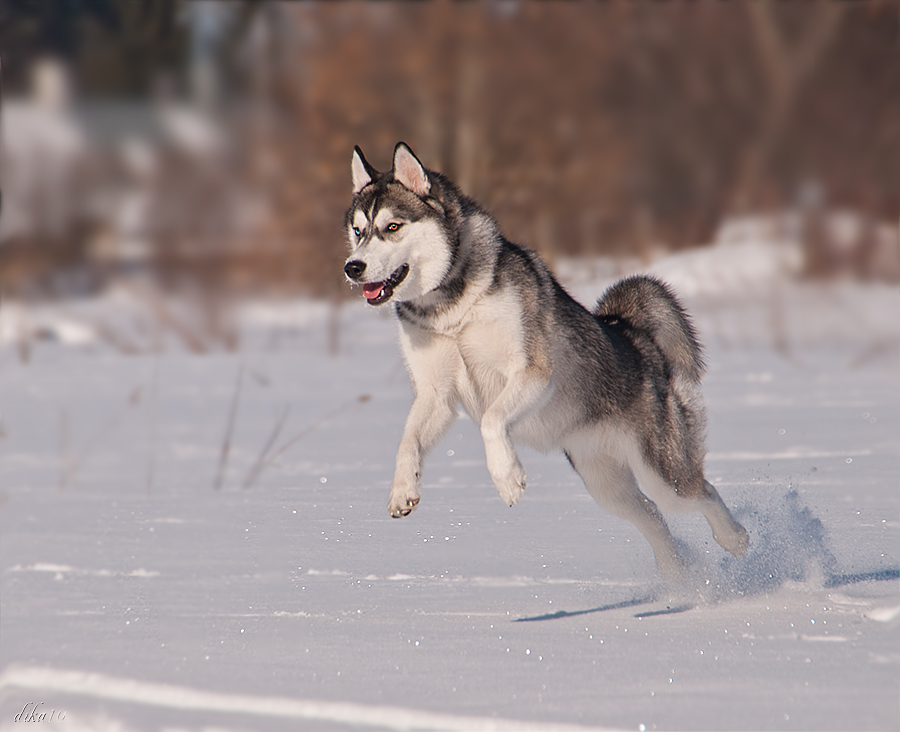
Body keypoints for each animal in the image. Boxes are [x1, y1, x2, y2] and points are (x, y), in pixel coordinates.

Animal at [342, 142, 748, 576]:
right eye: (358, 231)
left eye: (392, 227)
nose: (353, 267)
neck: (449, 310)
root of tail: (633, 333)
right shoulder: (436, 393)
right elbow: (408, 442)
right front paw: (403, 489)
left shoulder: (532, 372)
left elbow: (491, 421)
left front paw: (507, 476)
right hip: (604, 484)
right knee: (653, 516)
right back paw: (680, 578)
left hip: (661, 471)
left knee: (701, 492)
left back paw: (735, 538)